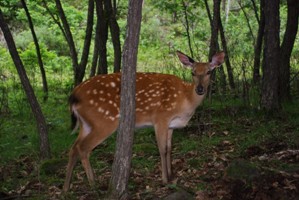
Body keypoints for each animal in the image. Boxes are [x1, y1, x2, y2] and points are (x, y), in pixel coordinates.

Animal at [63, 50, 225, 191]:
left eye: (209, 72)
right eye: (193, 72)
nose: (200, 89)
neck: (185, 99)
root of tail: (74, 95)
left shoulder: (171, 125)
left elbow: (170, 148)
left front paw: (171, 175)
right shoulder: (160, 118)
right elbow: (162, 149)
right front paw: (165, 180)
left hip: (86, 123)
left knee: (73, 147)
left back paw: (66, 188)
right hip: (104, 121)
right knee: (83, 147)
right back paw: (93, 184)